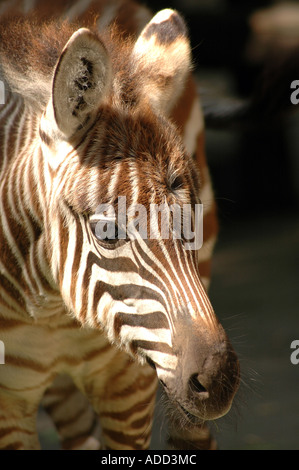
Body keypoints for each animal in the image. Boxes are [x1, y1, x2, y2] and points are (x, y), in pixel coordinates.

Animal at [0, 0, 240, 450]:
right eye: (107, 233)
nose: (217, 381)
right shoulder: (10, 400)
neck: (49, 309)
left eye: (193, 221)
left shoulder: (130, 383)